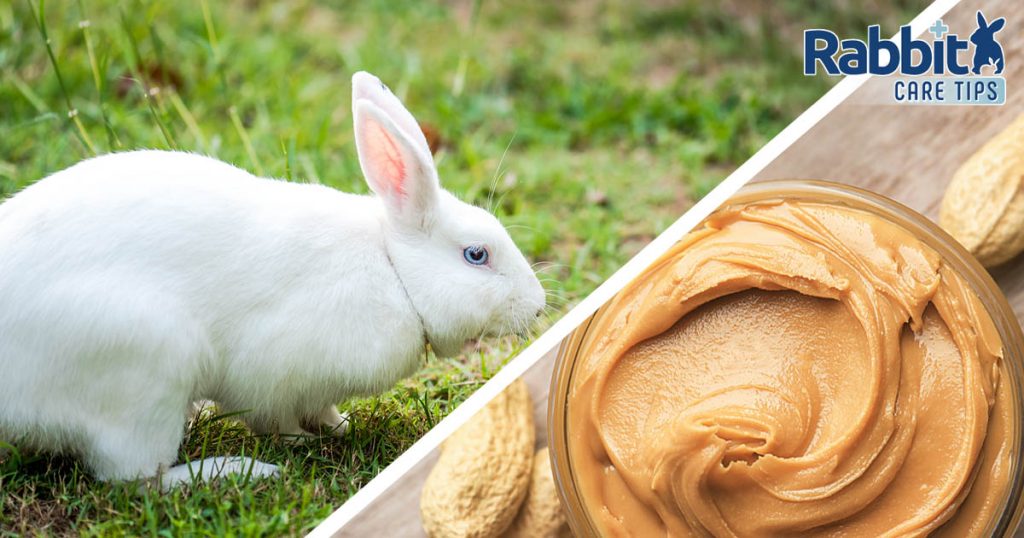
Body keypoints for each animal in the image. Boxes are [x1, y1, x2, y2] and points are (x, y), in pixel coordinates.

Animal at [0, 71, 546, 489]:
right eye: (477, 255)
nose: (540, 304)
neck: (393, 268)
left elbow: (322, 406)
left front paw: (338, 426)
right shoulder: (271, 375)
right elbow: (274, 417)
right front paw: (301, 441)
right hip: (146, 371)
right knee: (136, 478)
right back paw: (240, 470)